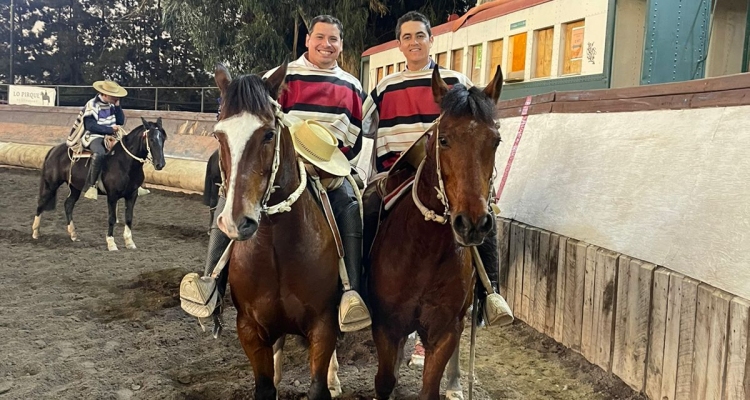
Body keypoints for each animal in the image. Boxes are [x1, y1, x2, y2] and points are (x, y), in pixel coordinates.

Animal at [32, 119, 167, 250]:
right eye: (151, 139)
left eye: (163, 139)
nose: (160, 164)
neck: (124, 162)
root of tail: (54, 149)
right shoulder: (112, 196)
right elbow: (112, 218)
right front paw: (111, 243)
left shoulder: (132, 195)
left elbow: (129, 218)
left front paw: (129, 242)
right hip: (51, 184)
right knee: (41, 203)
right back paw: (35, 232)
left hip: (75, 188)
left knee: (68, 204)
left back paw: (73, 235)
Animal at [212, 63, 340, 400]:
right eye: (218, 134)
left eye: (268, 134)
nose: (237, 222)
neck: (275, 246)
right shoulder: (250, 329)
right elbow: (266, 387)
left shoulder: (323, 325)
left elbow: (318, 386)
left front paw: (330, 379)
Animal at [366, 65, 502, 400]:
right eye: (444, 140)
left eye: (495, 140)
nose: (472, 223)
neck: (423, 251)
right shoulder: (386, 326)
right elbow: (384, 380)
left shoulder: (445, 330)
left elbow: (430, 387)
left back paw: (455, 384)